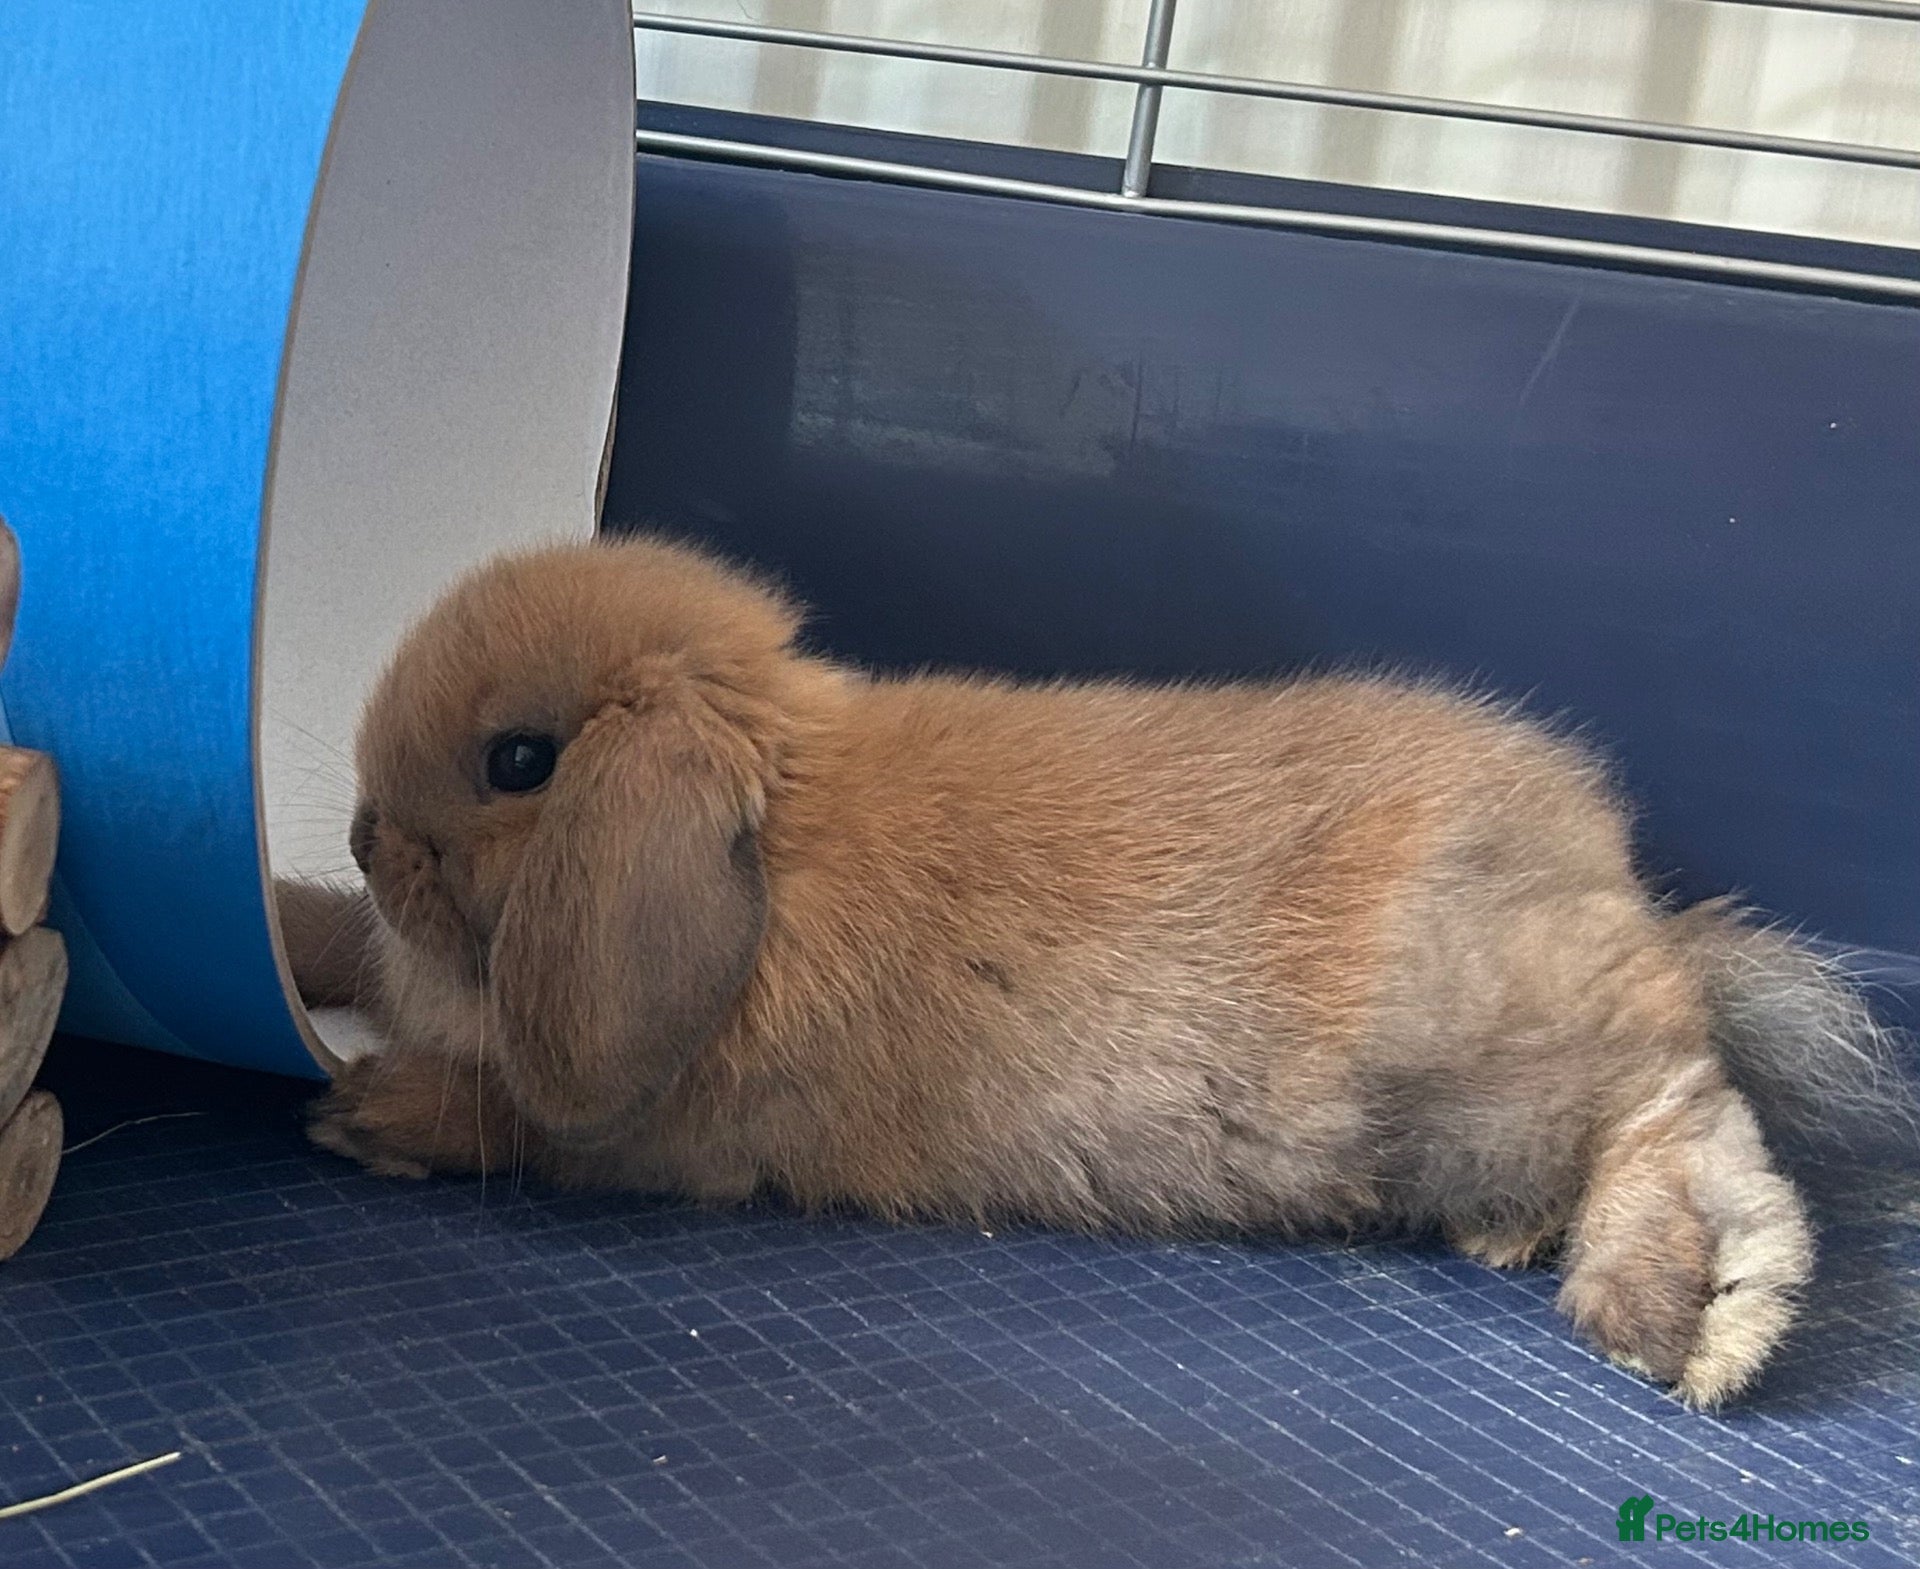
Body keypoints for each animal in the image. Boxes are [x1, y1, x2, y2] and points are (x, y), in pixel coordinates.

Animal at [286, 532, 1911, 1408]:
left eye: (519, 761)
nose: (363, 834)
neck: (781, 845)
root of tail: (1626, 899)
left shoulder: (673, 1137)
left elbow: (525, 1129)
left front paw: (375, 1112)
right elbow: (342, 943)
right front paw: (297, 926)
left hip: (1507, 1046)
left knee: (1683, 1114)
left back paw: (1669, 1313)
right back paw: (1512, 1239)